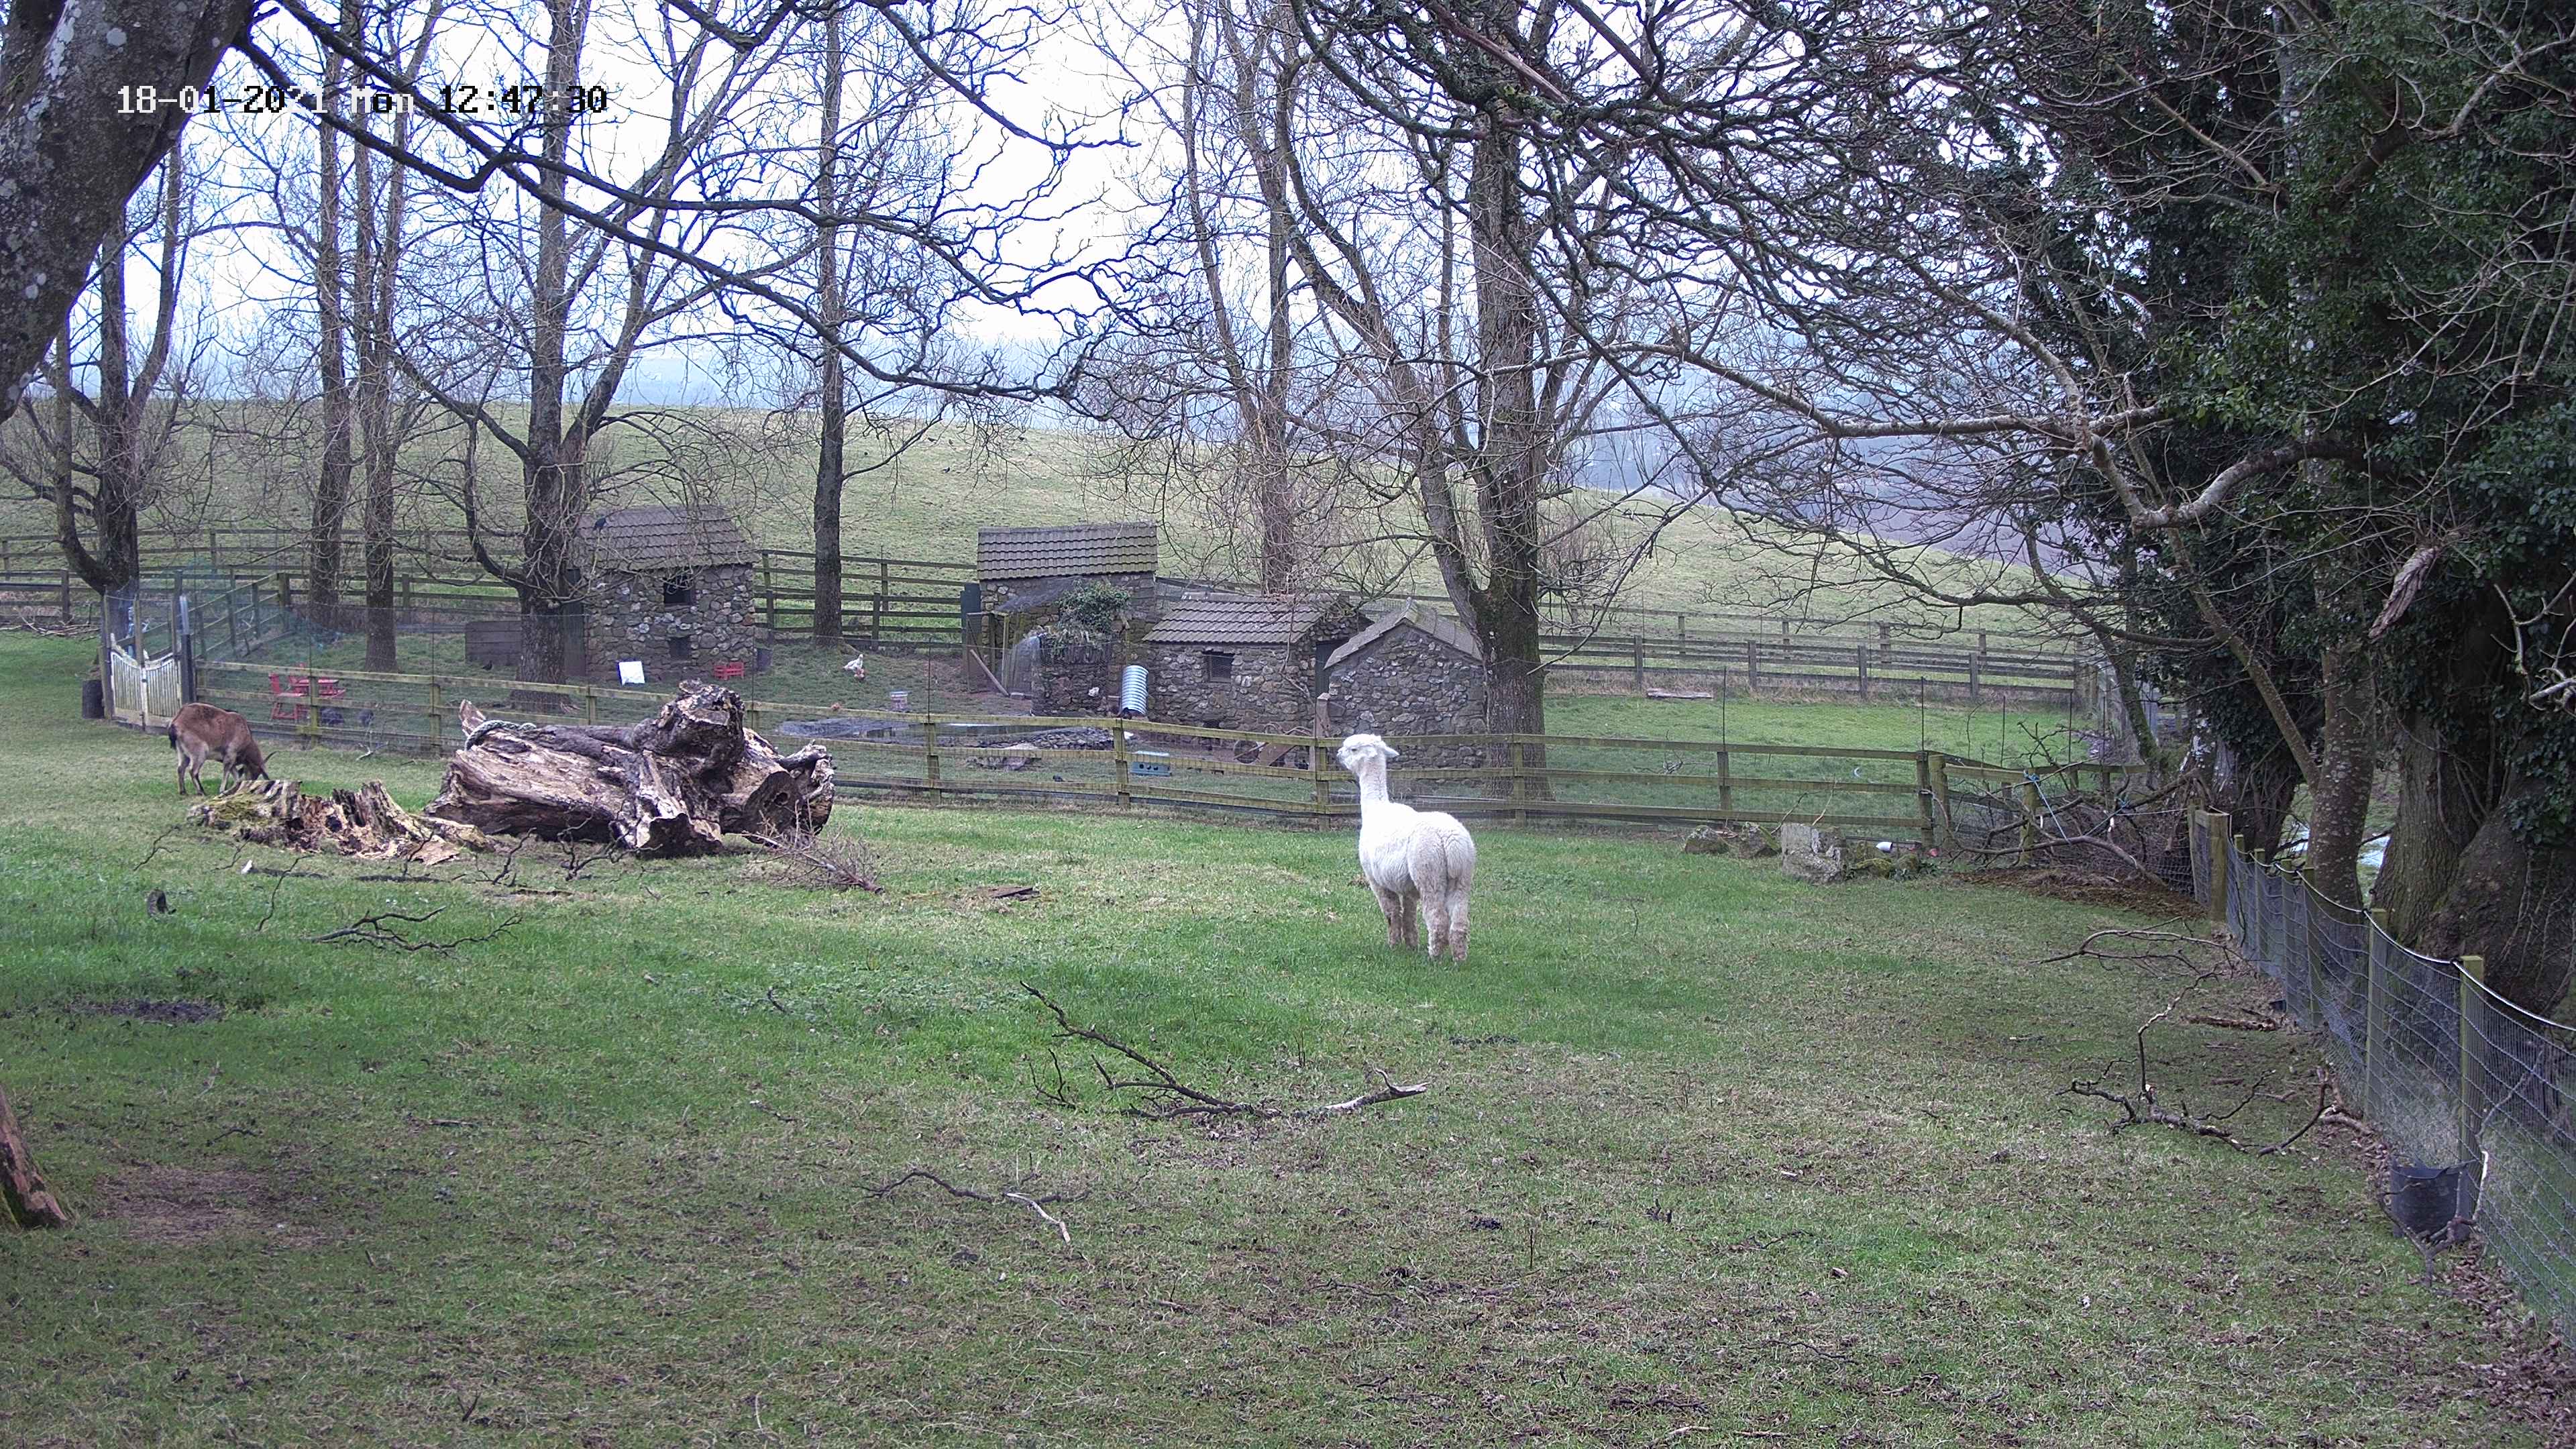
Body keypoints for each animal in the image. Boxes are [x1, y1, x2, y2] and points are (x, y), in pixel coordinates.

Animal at [1335, 733, 1476, 962]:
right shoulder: (1407, 885)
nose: (1338, 755)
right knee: (1460, 920)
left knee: (1437, 918)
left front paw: (1393, 944)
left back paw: (1434, 956)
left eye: (1353, 749)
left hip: (1428, 870)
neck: (1375, 810)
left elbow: (1391, 913)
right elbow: (1409, 914)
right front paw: (1411, 944)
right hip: (1462, 876)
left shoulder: (1376, 880)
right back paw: (1459, 958)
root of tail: (1452, 842)